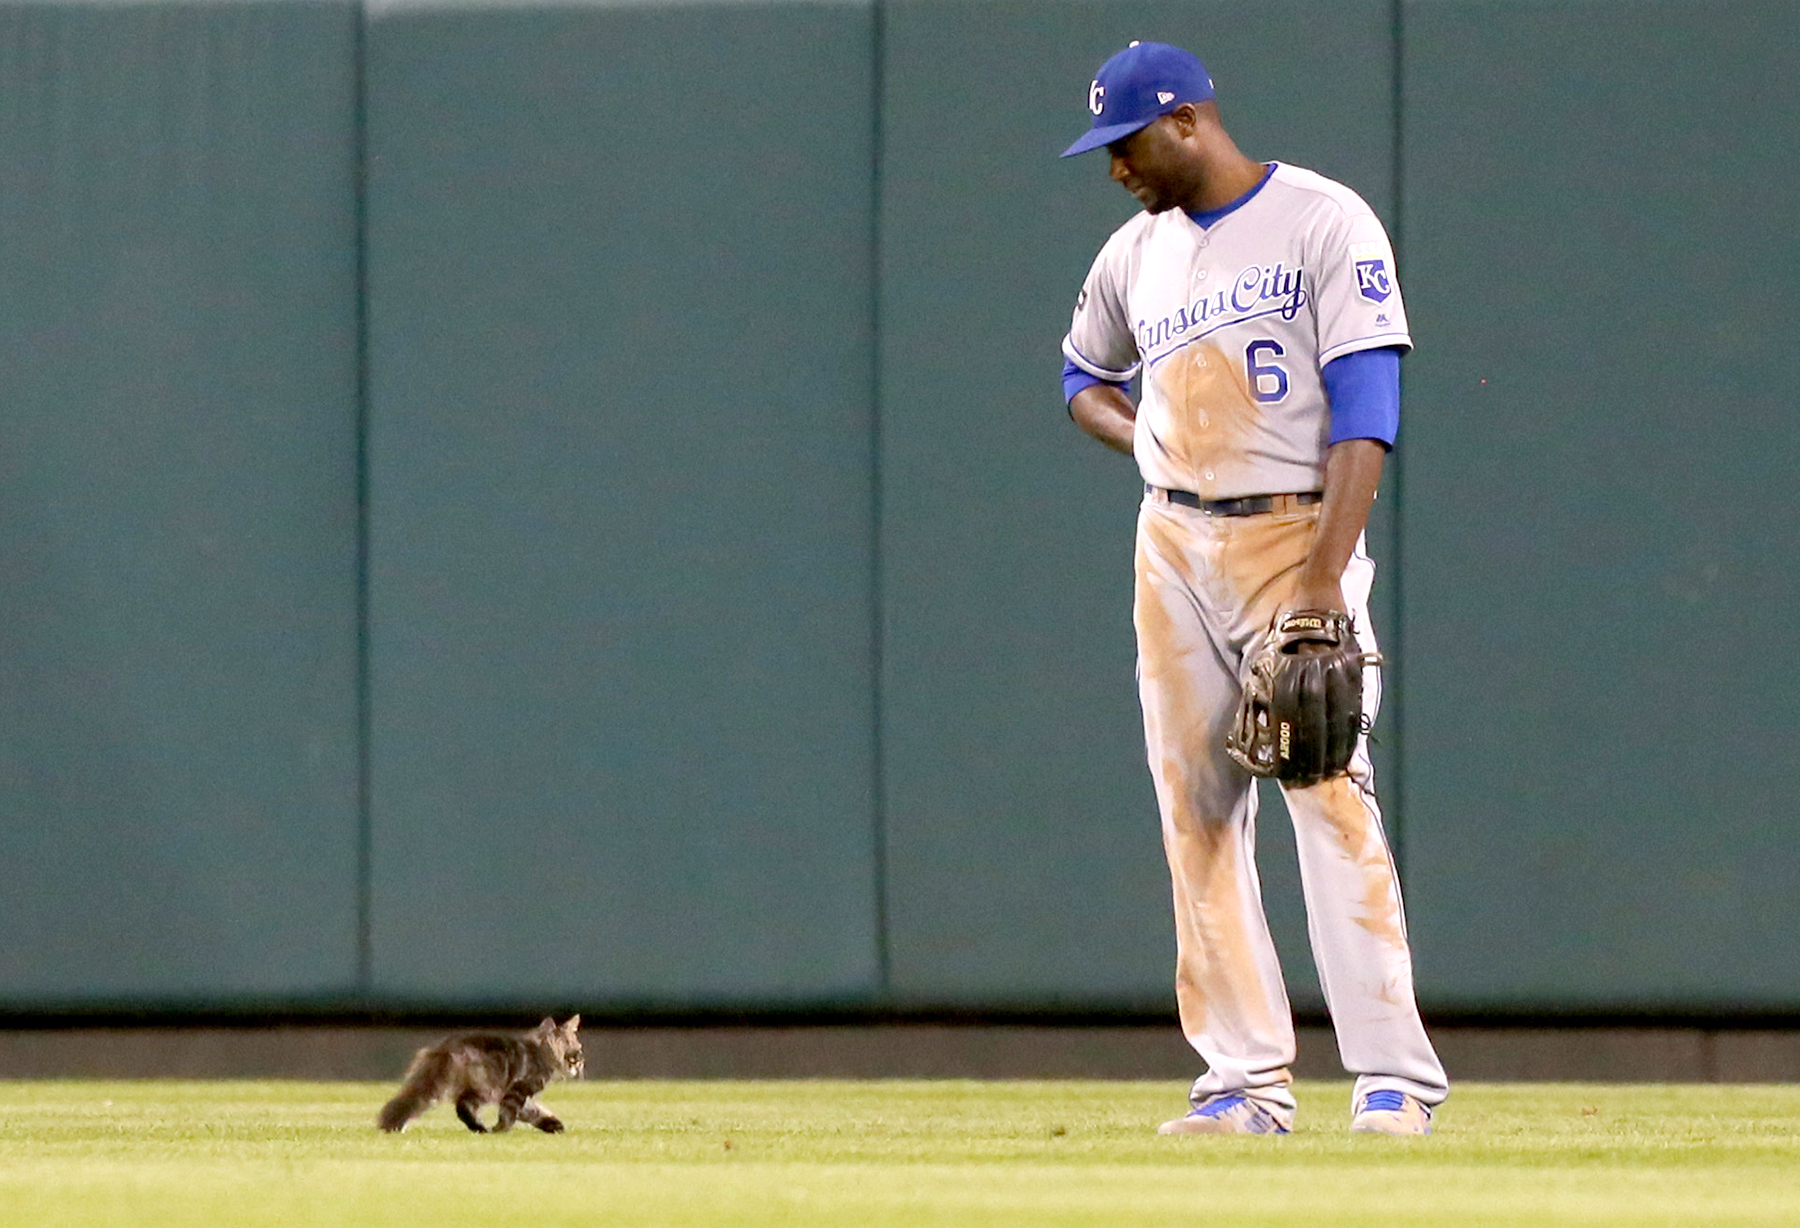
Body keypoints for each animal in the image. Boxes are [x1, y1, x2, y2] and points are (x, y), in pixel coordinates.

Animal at [378, 1008, 586, 1130]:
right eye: (578, 1052)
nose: (582, 1063)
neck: (542, 1049)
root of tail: (445, 1049)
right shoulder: (519, 1088)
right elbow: (510, 1114)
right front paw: (501, 1130)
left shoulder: (511, 1093)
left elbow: (532, 1111)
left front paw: (552, 1124)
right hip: (483, 1087)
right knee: (461, 1106)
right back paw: (480, 1128)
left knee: (461, 1107)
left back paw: (477, 1127)